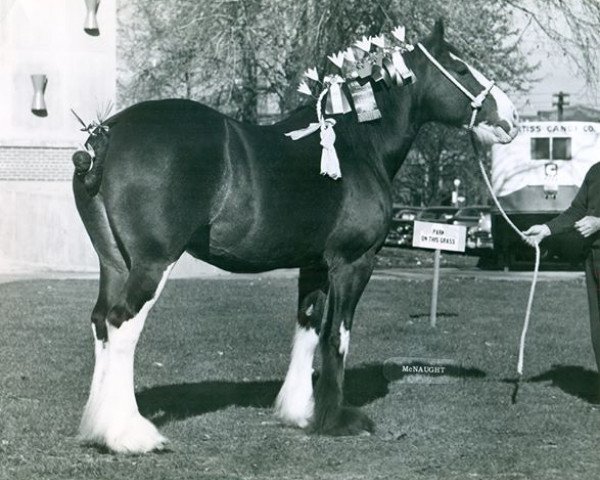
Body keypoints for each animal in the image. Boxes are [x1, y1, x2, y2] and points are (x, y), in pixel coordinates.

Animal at [72, 19, 516, 454]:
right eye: (461, 69)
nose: (510, 118)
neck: (356, 145)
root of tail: (106, 134)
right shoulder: (353, 263)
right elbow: (337, 335)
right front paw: (335, 420)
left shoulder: (315, 266)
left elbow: (308, 329)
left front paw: (300, 412)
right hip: (153, 263)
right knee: (122, 324)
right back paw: (130, 436)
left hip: (114, 262)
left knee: (100, 322)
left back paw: (98, 427)